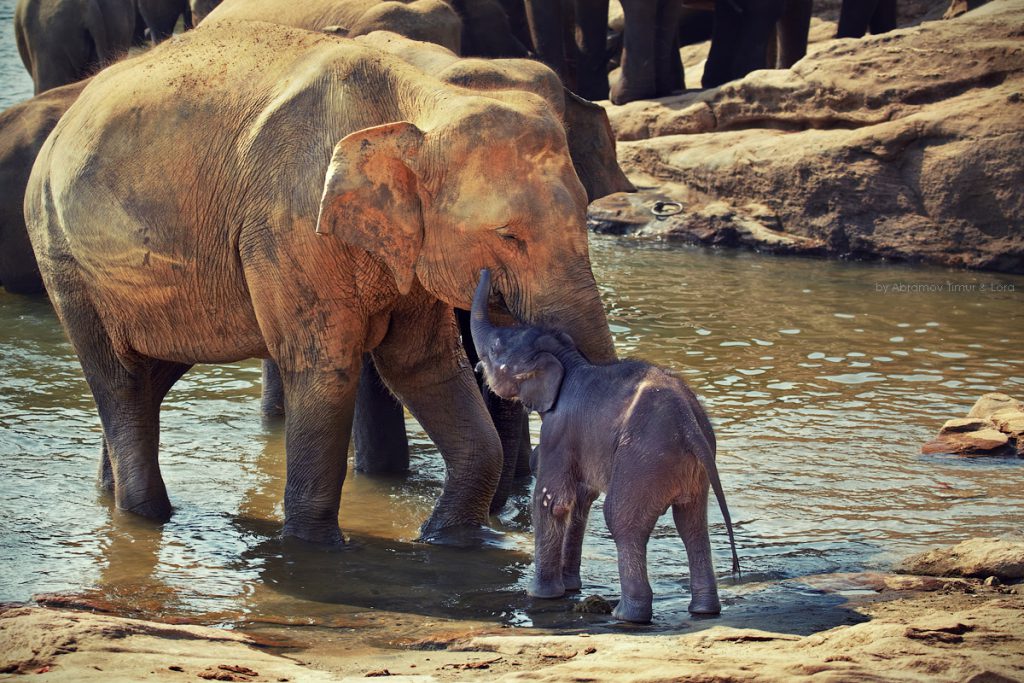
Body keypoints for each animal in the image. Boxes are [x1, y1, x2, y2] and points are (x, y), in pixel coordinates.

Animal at [25, 20, 614, 544]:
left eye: (586, 210)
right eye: (508, 235)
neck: (421, 100)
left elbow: (422, 363)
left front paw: (452, 540)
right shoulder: (290, 219)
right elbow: (324, 367)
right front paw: (314, 548)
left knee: (154, 371)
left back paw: (111, 495)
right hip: (64, 260)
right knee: (120, 379)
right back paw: (147, 515)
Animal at [471, 270, 737, 622]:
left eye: (496, 349)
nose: (487, 273)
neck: (569, 360)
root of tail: (689, 425)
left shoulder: (559, 432)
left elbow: (551, 501)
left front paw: (540, 594)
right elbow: (582, 497)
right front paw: (569, 587)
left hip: (643, 461)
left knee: (623, 520)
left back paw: (627, 615)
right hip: (692, 469)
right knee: (691, 522)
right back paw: (704, 610)